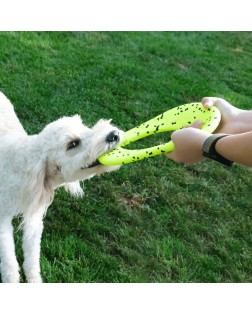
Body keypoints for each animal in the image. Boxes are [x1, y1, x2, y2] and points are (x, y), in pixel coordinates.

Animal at [0, 92, 123, 284]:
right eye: (72, 144)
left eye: (85, 127)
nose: (114, 134)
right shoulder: (2, 219)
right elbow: (9, 264)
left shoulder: (35, 217)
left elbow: (32, 257)